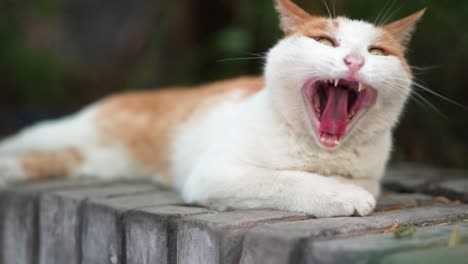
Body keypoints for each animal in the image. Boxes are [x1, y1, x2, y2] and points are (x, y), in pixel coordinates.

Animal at [0, 1, 424, 218]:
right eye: (325, 41)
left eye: (377, 52)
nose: (354, 60)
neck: (318, 152)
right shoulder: (216, 173)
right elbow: (285, 178)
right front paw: (339, 196)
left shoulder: (368, 174)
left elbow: (353, 183)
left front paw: (344, 189)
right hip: (66, 129)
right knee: (22, 141)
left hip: (91, 161)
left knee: (40, 162)